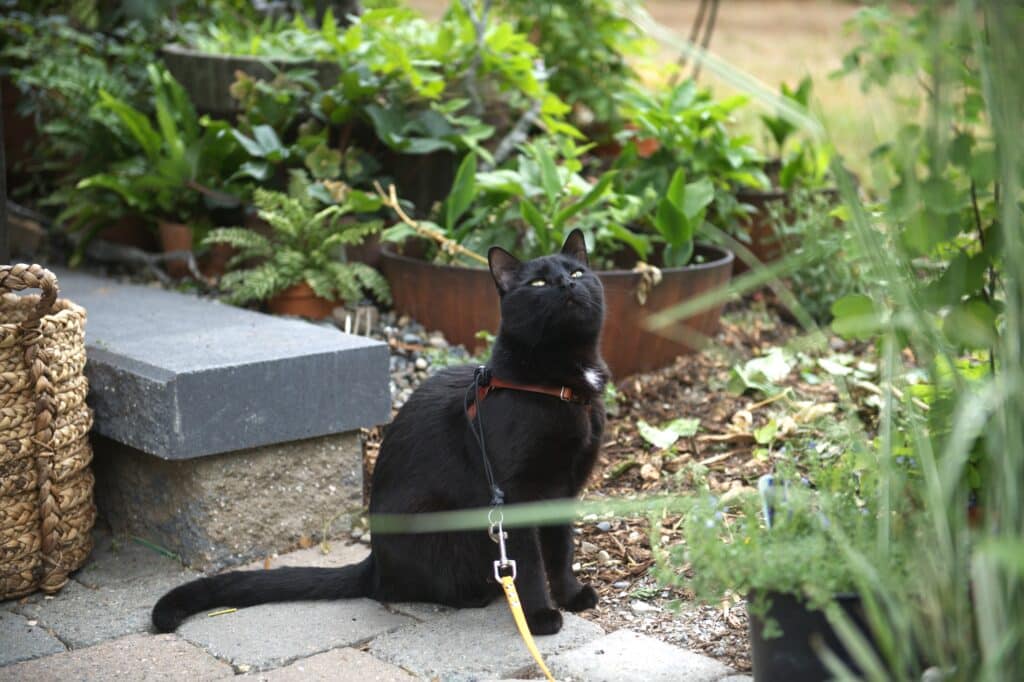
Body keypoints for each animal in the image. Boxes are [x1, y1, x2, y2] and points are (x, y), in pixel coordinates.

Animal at [151, 228, 606, 630]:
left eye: (577, 272)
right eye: (539, 283)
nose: (566, 283)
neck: (559, 381)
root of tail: (373, 563)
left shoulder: (564, 487)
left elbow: (560, 550)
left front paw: (571, 596)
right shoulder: (516, 494)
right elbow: (528, 563)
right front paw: (539, 617)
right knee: (417, 587)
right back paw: (481, 592)